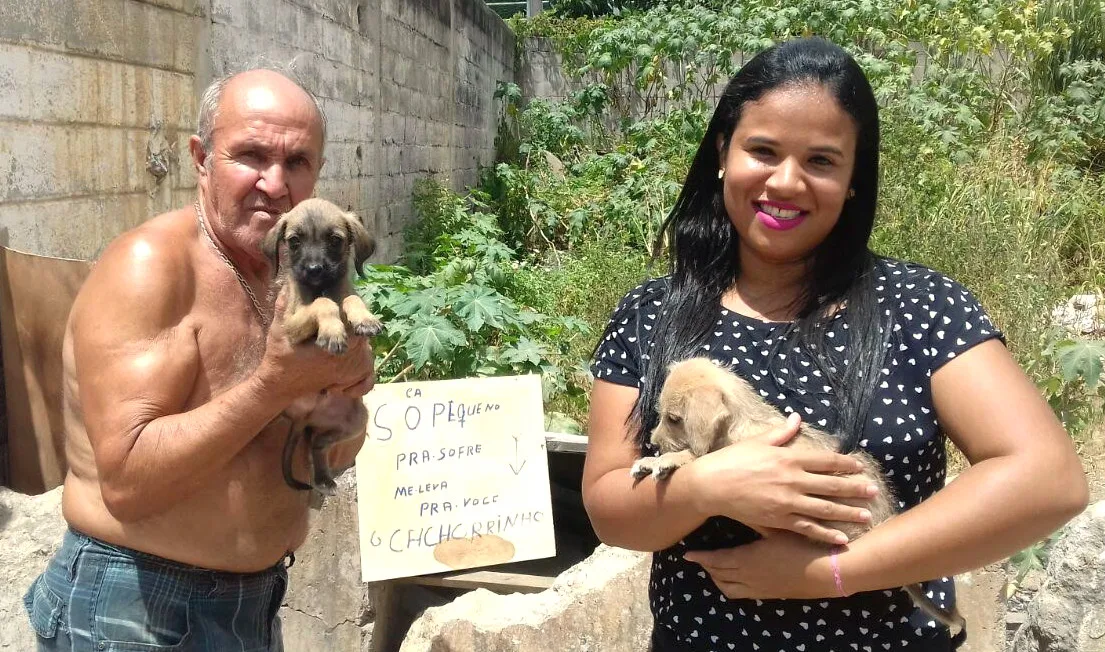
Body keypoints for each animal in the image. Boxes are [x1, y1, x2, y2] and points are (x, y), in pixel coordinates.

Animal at [260, 198, 382, 495]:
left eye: (335, 240)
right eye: (294, 242)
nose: (314, 269)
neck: (321, 286)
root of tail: (306, 417)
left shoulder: (345, 292)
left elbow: (349, 298)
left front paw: (364, 319)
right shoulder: (291, 327)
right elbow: (323, 303)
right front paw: (333, 333)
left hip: (358, 419)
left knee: (316, 443)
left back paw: (325, 478)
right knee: (313, 441)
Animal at [636, 358, 963, 632]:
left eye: (673, 418)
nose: (654, 441)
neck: (742, 423)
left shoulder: (728, 452)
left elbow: (696, 456)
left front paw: (666, 459)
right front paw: (649, 461)